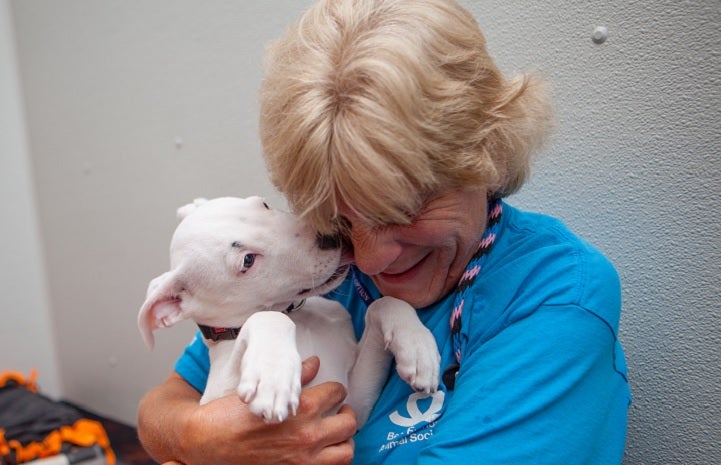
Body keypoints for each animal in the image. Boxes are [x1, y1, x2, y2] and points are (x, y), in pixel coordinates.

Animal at [137, 194, 436, 426]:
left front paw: (418, 348)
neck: (298, 316)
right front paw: (273, 376)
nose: (332, 236)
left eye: (264, 205)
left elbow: (382, 303)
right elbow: (265, 317)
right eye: (247, 261)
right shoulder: (219, 396)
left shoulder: (352, 405)